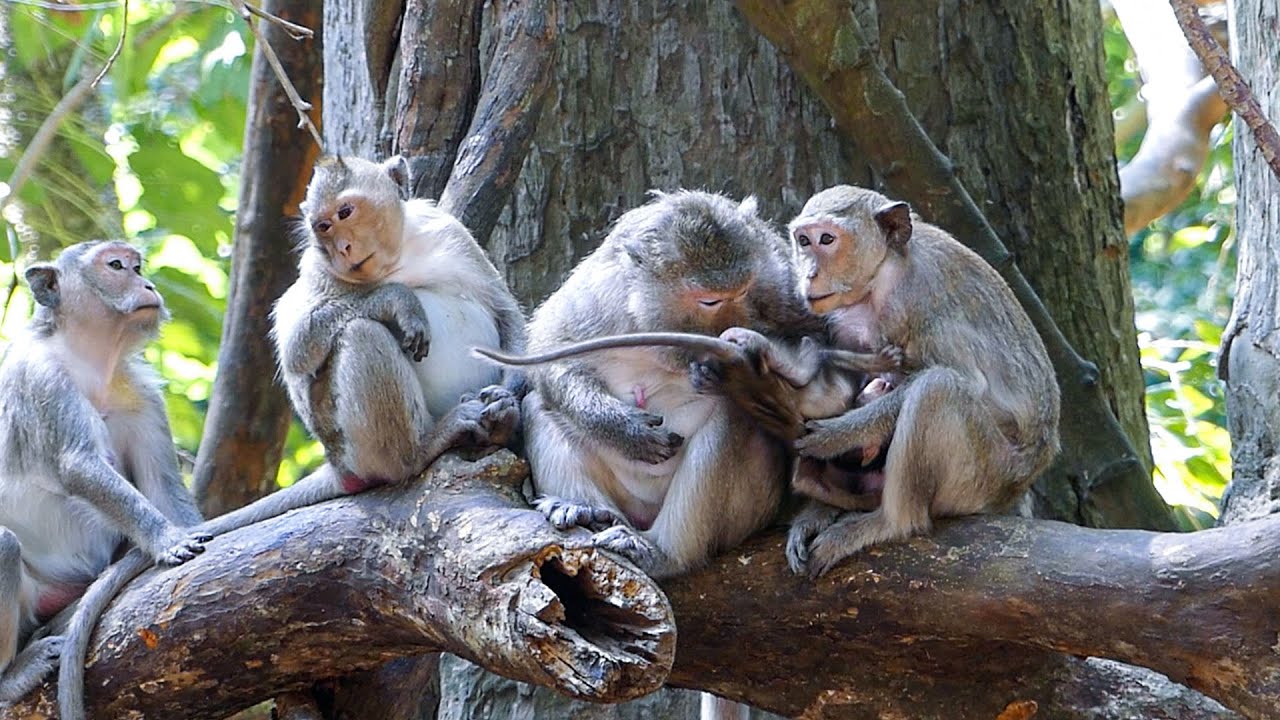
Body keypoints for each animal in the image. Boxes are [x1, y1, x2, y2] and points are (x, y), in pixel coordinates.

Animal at [0, 240, 209, 708]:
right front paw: (167, 539)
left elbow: (163, 487)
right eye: (115, 266)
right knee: (3, 545)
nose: (148, 285)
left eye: (138, 266)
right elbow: (79, 466)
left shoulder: (139, 391)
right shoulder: (43, 379)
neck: (90, 360)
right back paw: (8, 680)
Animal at [56, 156, 526, 720]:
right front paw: (399, 301)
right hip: (357, 445)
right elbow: (302, 348)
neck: (394, 263)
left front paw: (509, 400)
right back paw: (423, 447)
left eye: (345, 213)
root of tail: (341, 467)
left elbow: (504, 313)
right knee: (361, 335)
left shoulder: (452, 236)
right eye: (320, 227)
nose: (340, 248)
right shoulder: (317, 274)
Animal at [518, 189, 826, 584]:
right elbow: (550, 352)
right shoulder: (599, 295)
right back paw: (582, 508)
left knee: (733, 416)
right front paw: (623, 429)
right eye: (710, 300)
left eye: (744, 290)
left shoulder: (782, 285)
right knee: (538, 405)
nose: (731, 332)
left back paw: (664, 553)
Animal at [778, 185, 1060, 577]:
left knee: (938, 389)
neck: (885, 273)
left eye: (827, 239)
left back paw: (890, 521)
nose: (809, 275)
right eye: (803, 241)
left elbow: (964, 382)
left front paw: (838, 435)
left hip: (985, 477)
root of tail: (1019, 486)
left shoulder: (917, 302)